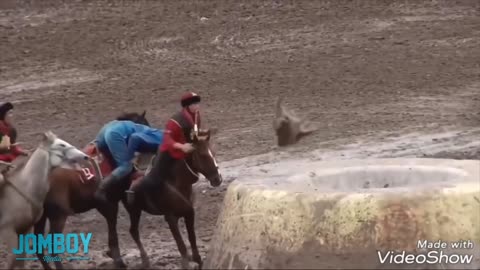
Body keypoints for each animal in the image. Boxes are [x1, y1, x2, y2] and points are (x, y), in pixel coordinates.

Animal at [0, 130, 89, 268]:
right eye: (61, 144)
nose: (85, 156)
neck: (24, 187)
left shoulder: (24, 230)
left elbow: (19, 259)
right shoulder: (7, 230)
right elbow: (13, 260)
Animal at [33, 110, 152, 268]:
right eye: (145, 124)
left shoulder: (106, 205)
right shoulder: (117, 203)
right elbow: (123, 230)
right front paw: (123, 259)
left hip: (41, 218)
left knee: (38, 247)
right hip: (58, 217)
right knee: (51, 246)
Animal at [124, 128, 221, 270]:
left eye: (213, 153)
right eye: (202, 155)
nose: (218, 179)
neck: (175, 184)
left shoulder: (189, 213)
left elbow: (192, 239)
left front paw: (197, 260)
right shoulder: (171, 218)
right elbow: (181, 245)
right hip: (134, 211)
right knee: (133, 231)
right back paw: (144, 260)